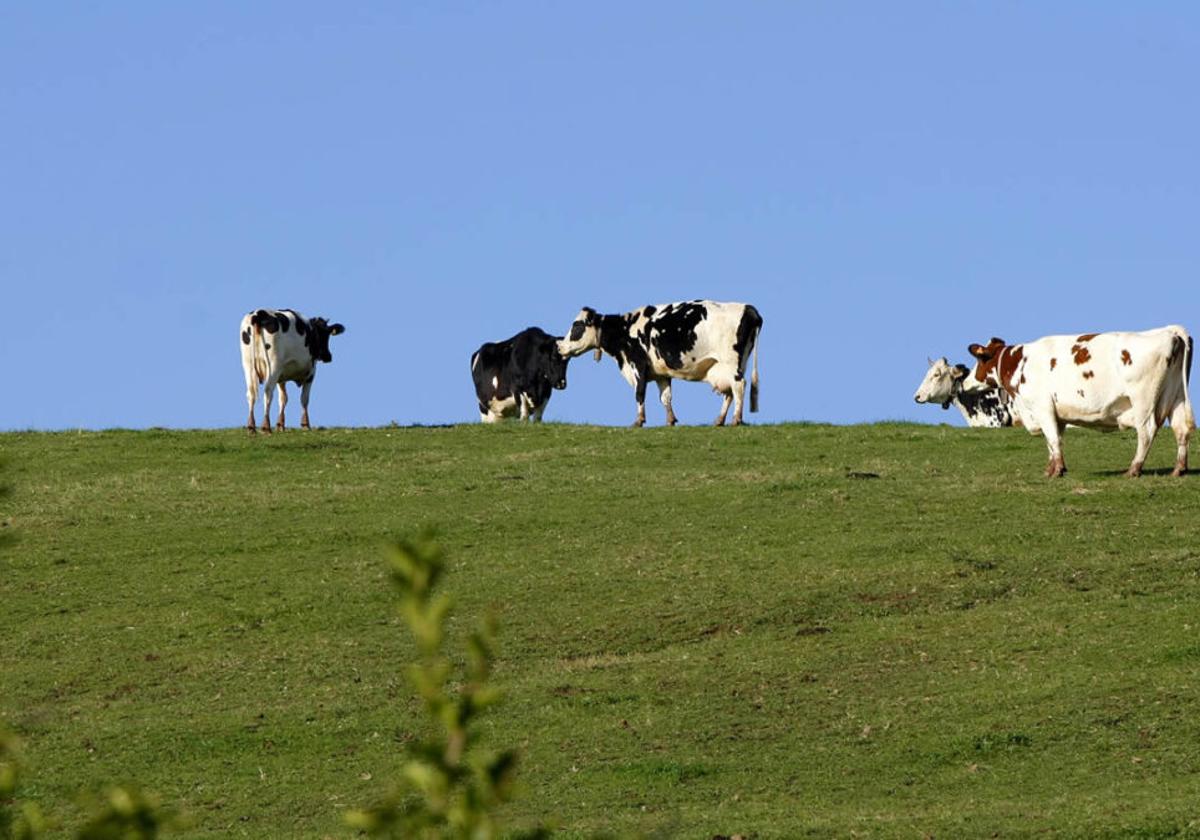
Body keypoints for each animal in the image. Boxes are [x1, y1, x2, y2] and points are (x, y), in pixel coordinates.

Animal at [559, 300, 763, 427]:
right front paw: (670, 420)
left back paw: (736, 419)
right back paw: (719, 420)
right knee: (730, 393)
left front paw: (639, 420)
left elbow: (639, 393)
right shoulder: (660, 373)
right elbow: (666, 397)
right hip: (727, 367)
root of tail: (750, 309)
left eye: (576, 326)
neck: (625, 330)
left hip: (731, 363)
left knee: (739, 387)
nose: (560, 346)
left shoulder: (638, 365)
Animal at [960, 326, 1195, 475]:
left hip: (1143, 400)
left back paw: (1133, 469)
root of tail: (1169, 331)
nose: (965, 382)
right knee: (1181, 430)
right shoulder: (1057, 414)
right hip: (1176, 396)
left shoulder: (1042, 407)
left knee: (1146, 432)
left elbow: (1053, 439)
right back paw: (1179, 469)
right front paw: (1051, 469)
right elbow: (1053, 441)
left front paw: (1058, 471)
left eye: (979, 359)